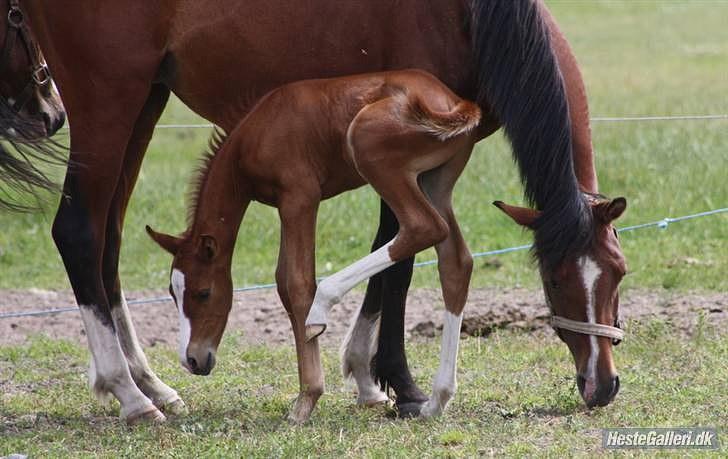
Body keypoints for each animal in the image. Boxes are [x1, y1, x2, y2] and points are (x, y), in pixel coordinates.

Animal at [147, 69, 478, 424]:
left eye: (204, 293)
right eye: (172, 293)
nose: (193, 360)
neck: (256, 132)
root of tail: (452, 102)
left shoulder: (300, 196)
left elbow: (297, 282)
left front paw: (307, 399)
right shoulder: (287, 203)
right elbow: (283, 282)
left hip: (374, 156)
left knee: (423, 227)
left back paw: (323, 306)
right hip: (435, 179)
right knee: (456, 261)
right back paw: (436, 401)